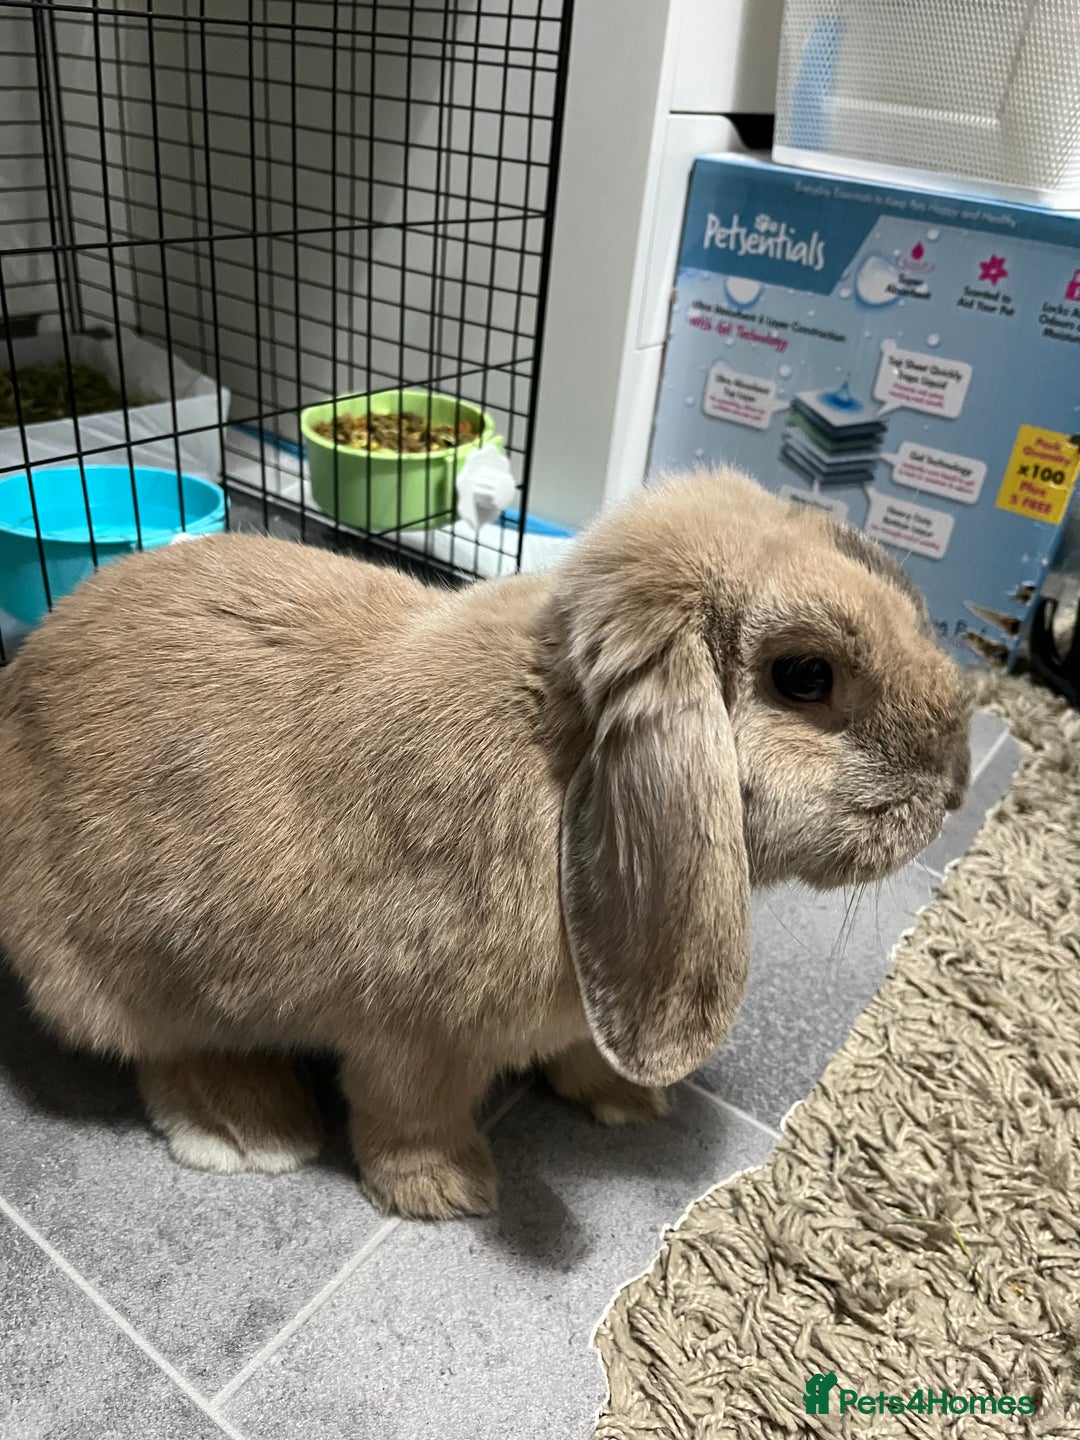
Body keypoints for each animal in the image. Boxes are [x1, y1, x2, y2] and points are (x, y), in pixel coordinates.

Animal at [0, 467, 971, 1219]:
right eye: (804, 677)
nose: (958, 785)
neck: (567, 756)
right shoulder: (410, 1035)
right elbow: (410, 1114)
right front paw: (448, 1192)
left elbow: (584, 1046)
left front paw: (629, 1099)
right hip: (132, 979)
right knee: (164, 1051)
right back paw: (251, 1128)